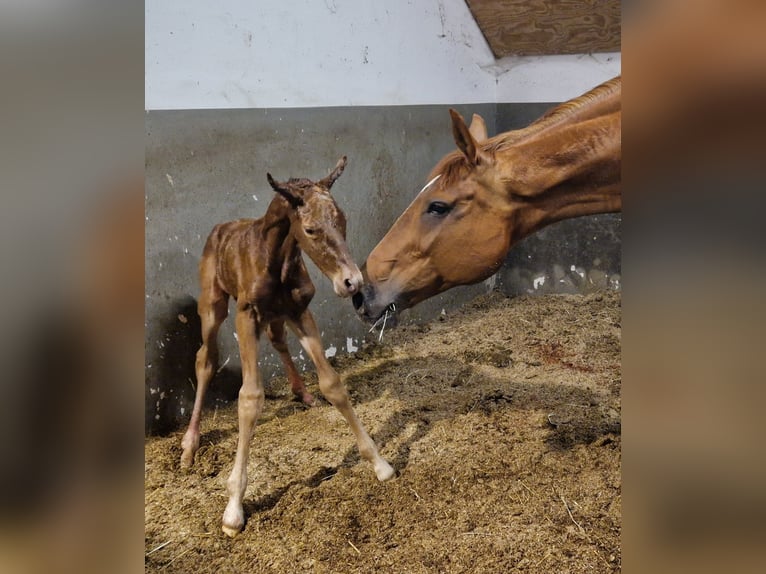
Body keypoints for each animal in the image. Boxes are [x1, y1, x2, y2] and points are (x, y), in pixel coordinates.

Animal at [181, 155, 396, 536]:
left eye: (343, 219)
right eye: (309, 230)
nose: (352, 282)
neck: (276, 261)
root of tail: (220, 227)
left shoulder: (299, 310)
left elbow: (332, 384)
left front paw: (379, 463)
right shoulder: (247, 315)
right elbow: (250, 398)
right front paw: (233, 508)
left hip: (277, 315)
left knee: (278, 340)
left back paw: (302, 392)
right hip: (213, 305)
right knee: (205, 359)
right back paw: (189, 447)